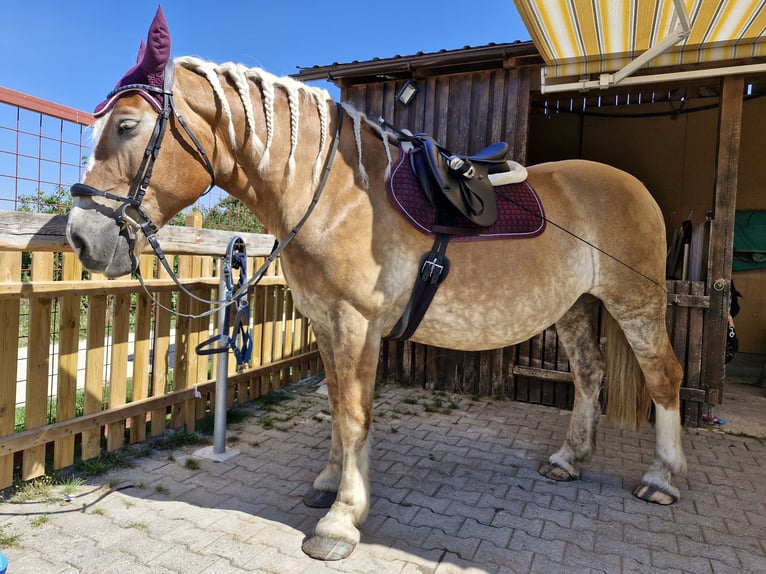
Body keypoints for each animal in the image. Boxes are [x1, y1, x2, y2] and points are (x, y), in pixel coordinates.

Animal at [66, 7, 688, 564]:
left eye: (126, 126)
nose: (80, 238)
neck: (336, 194)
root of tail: (635, 188)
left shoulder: (355, 323)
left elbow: (354, 413)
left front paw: (341, 519)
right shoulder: (325, 322)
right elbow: (338, 405)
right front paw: (328, 482)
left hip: (636, 304)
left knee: (664, 378)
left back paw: (663, 478)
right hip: (576, 306)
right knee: (588, 376)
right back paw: (568, 459)